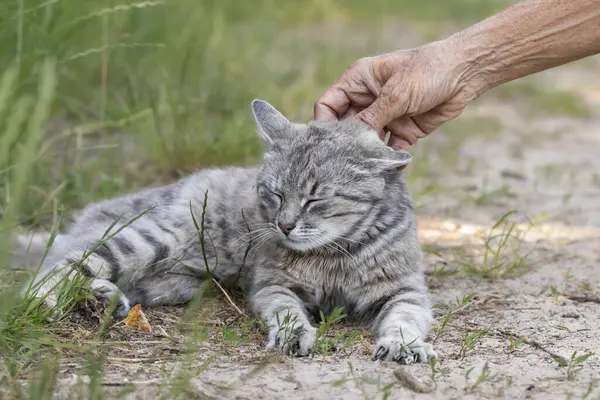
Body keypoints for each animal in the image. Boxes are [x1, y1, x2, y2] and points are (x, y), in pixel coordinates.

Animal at [12, 98, 436, 364]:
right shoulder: (273, 286)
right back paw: (46, 299)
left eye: (315, 199)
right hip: (146, 241)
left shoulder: (403, 290)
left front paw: (404, 345)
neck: (334, 253)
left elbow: (406, 319)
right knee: (62, 262)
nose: (284, 225)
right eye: (275, 194)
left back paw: (104, 299)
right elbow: (288, 313)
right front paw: (293, 335)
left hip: (170, 284)